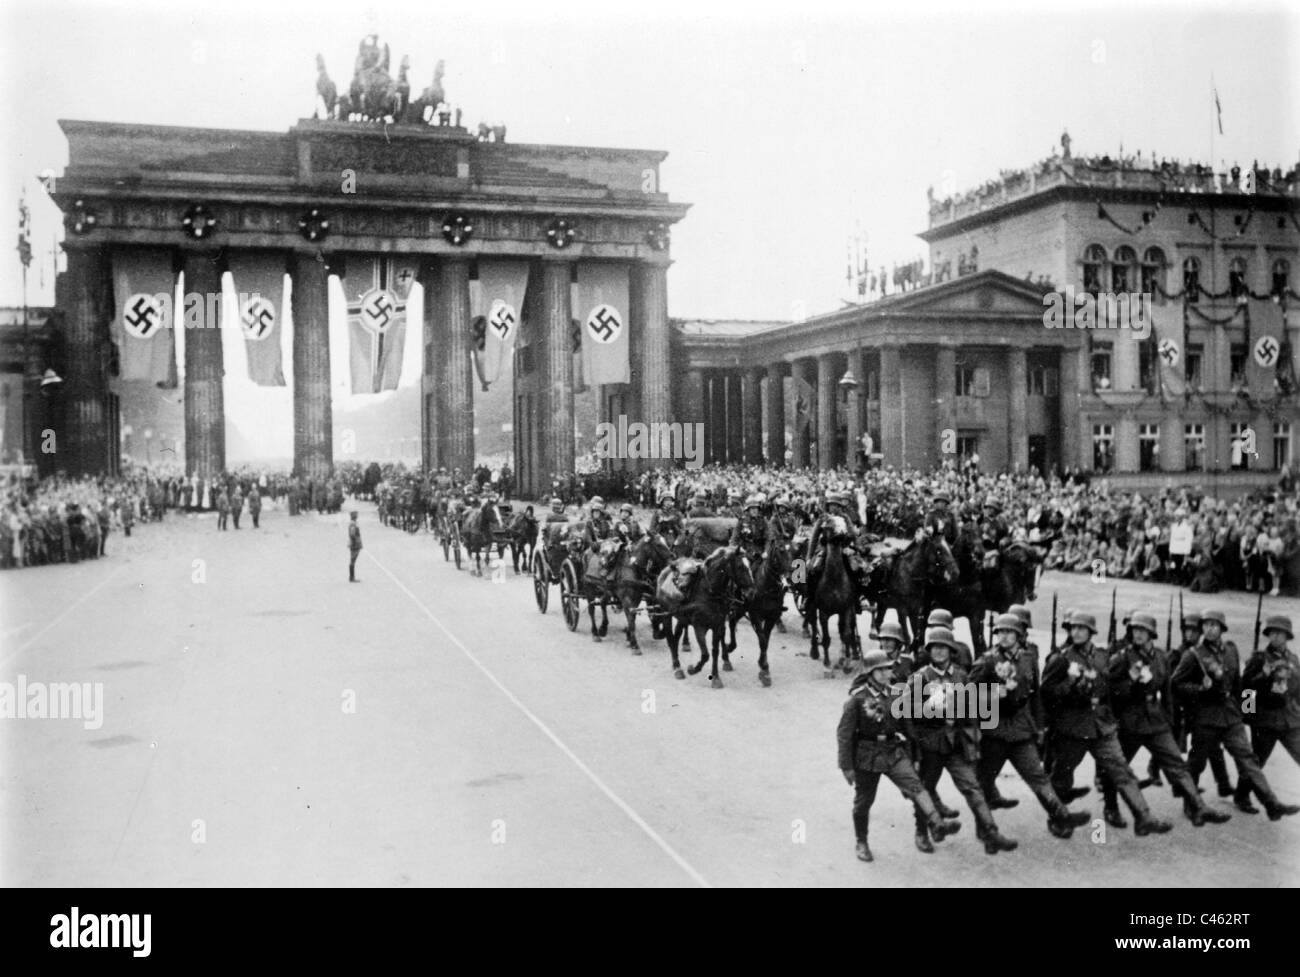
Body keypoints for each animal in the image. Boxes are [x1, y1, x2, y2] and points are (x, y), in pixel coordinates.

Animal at [655, 550, 759, 685]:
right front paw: (693, 669)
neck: (709, 591)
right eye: (740, 567)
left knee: (676, 638)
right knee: (670, 639)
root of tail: (666, 570)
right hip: (666, 615)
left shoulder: (717, 625)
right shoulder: (699, 626)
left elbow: (715, 651)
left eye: (750, 566)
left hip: (682, 618)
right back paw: (678, 668)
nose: (751, 592)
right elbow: (705, 654)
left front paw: (715, 677)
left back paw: (676, 662)